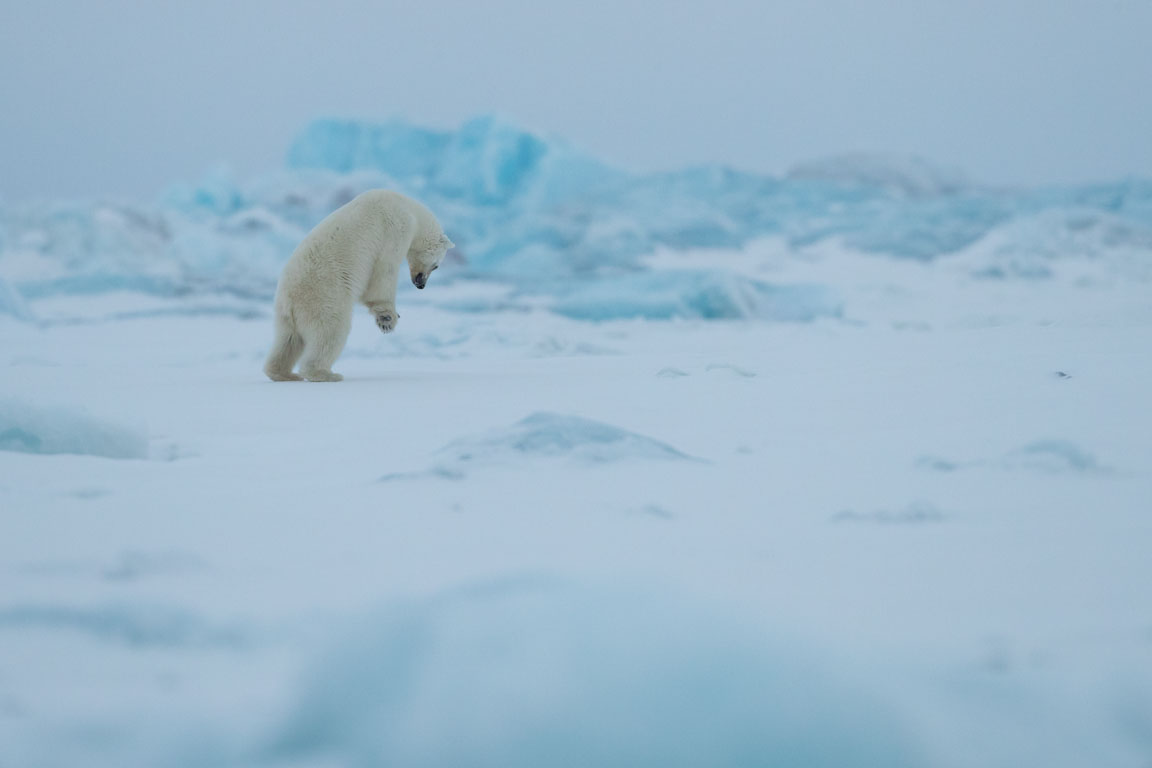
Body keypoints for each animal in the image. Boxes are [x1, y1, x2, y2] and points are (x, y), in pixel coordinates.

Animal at [263, 188, 451, 382]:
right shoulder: (396, 229)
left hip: (285, 314)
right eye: (436, 265)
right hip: (324, 298)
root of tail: (289, 300)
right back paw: (325, 373)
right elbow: (384, 272)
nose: (421, 285)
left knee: (288, 340)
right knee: (331, 331)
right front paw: (388, 318)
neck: (407, 206)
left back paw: (283, 373)